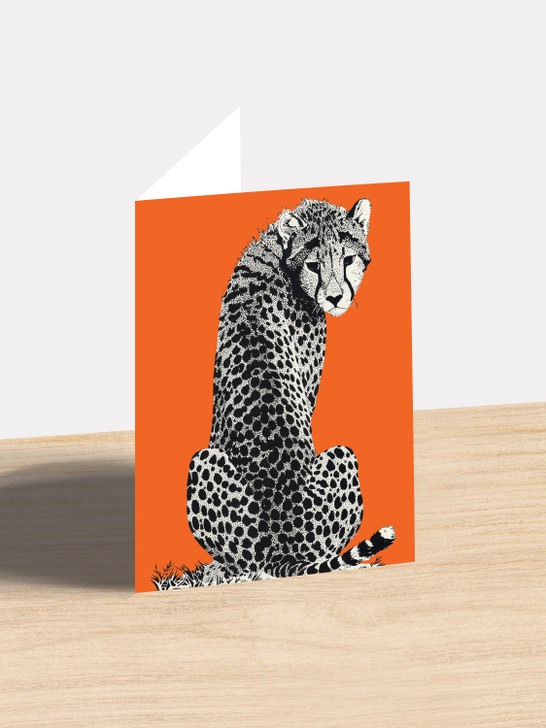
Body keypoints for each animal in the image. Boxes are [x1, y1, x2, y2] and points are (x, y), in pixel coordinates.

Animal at [186, 197, 395, 582]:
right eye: (314, 264)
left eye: (347, 259)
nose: (335, 298)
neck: (277, 252)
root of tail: (283, 547)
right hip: (341, 453)